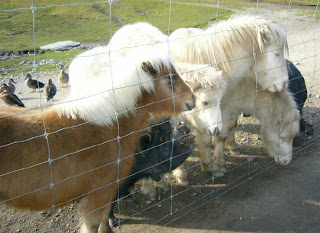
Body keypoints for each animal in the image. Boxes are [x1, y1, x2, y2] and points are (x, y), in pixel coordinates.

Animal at [0, 48, 195, 232]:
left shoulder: (108, 192)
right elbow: (95, 224)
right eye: (169, 77)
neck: (105, 127)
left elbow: (105, 220)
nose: (192, 98)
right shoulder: (98, 195)